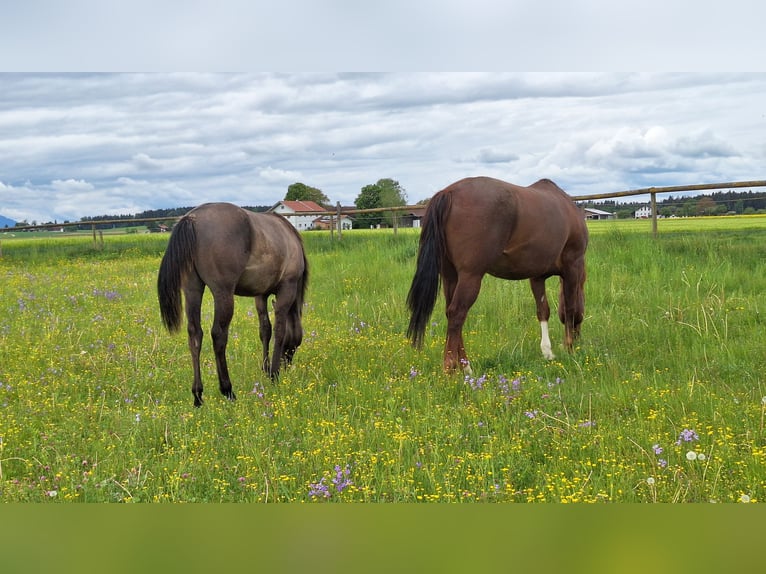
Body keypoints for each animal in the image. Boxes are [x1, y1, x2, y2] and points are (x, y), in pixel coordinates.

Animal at [157, 202, 308, 407]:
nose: (287, 364)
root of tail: (193, 219)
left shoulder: (260, 295)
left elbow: (265, 330)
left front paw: (266, 368)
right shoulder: (287, 289)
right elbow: (279, 331)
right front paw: (274, 374)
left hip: (192, 289)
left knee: (195, 334)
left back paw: (198, 395)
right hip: (223, 293)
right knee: (218, 335)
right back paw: (227, 390)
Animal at [406, 176, 588, 373]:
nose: (579, 339)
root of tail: (448, 193)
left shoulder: (537, 276)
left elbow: (543, 310)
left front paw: (548, 352)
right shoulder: (572, 267)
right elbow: (569, 308)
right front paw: (569, 349)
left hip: (450, 277)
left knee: (450, 313)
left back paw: (465, 367)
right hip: (470, 276)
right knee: (456, 314)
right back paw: (450, 369)